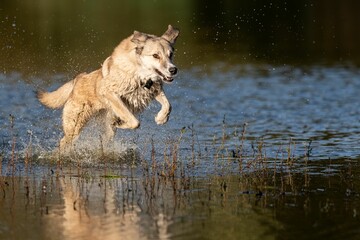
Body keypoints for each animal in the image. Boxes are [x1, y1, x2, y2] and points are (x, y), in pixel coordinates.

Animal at [36, 24, 180, 152]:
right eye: (156, 55)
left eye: (171, 54)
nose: (173, 70)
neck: (139, 73)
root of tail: (77, 80)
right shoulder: (110, 92)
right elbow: (133, 120)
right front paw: (121, 123)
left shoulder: (154, 89)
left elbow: (168, 105)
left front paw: (161, 118)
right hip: (75, 124)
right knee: (63, 142)